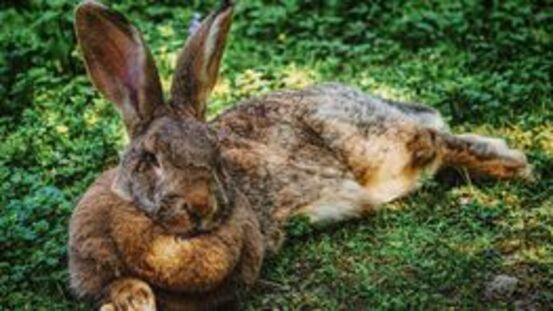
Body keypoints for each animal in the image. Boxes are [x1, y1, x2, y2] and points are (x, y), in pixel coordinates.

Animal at [69, 0, 532, 310]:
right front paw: (128, 299)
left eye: (215, 153)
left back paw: (512, 164)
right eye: (151, 159)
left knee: (433, 140)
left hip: (377, 148)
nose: (200, 206)